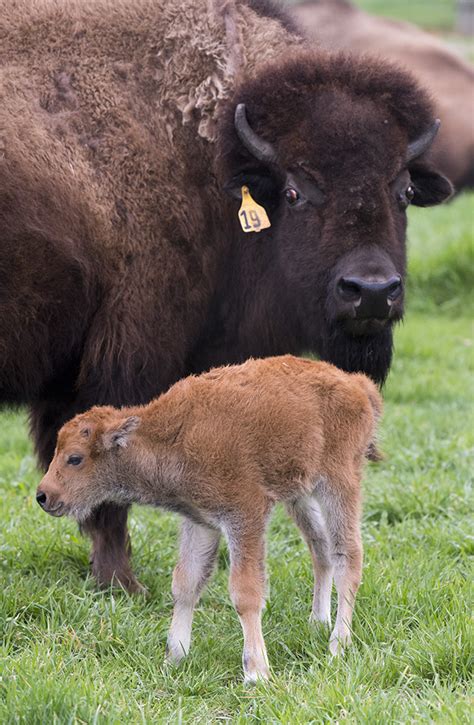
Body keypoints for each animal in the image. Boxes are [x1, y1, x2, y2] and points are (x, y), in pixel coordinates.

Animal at [0, 0, 452, 588]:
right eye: (294, 192)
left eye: (403, 190)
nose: (371, 291)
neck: (206, 149)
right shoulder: (123, 359)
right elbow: (106, 484)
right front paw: (122, 582)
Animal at [37, 358, 382, 684]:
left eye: (75, 458)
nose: (43, 495)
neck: (172, 435)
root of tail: (355, 383)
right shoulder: (201, 521)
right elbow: (185, 584)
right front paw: (173, 659)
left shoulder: (245, 516)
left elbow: (245, 591)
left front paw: (256, 673)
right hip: (300, 494)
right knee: (320, 548)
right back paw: (317, 623)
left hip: (338, 482)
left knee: (347, 555)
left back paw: (337, 645)